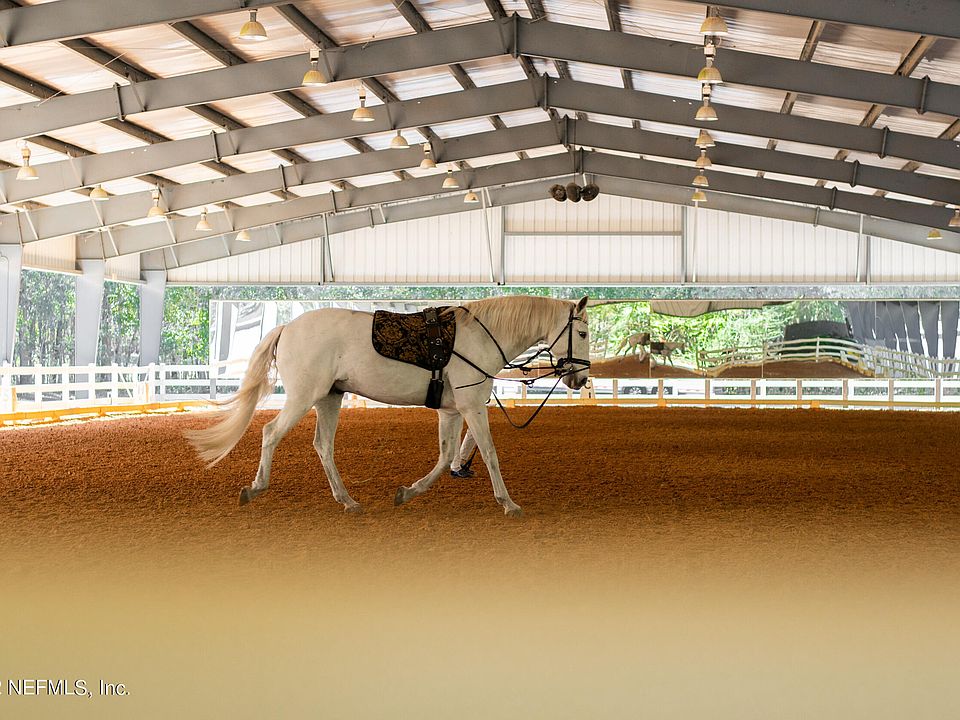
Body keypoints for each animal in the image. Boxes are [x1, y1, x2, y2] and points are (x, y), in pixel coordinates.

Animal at [186, 295, 591, 517]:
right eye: (584, 332)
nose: (581, 378)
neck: (479, 336)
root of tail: (288, 327)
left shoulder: (452, 411)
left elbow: (445, 457)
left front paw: (407, 492)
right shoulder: (472, 406)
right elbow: (489, 453)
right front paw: (509, 503)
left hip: (329, 398)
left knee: (323, 445)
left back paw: (347, 501)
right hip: (303, 397)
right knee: (271, 433)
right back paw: (256, 488)